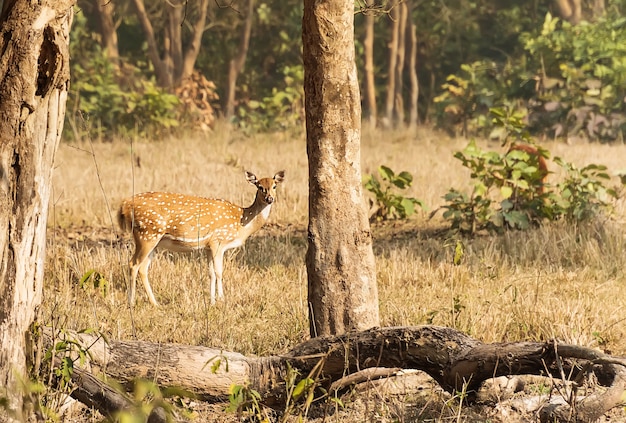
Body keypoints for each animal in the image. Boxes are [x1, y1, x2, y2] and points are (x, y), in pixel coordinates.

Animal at [117, 171, 286, 306]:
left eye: (274, 186)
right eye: (259, 186)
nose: (270, 199)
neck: (241, 222)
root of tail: (124, 205)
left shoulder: (208, 246)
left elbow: (210, 272)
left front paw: (212, 301)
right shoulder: (218, 241)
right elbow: (219, 272)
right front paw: (222, 299)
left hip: (153, 240)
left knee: (143, 268)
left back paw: (155, 303)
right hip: (146, 234)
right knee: (133, 264)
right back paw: (131, 302)